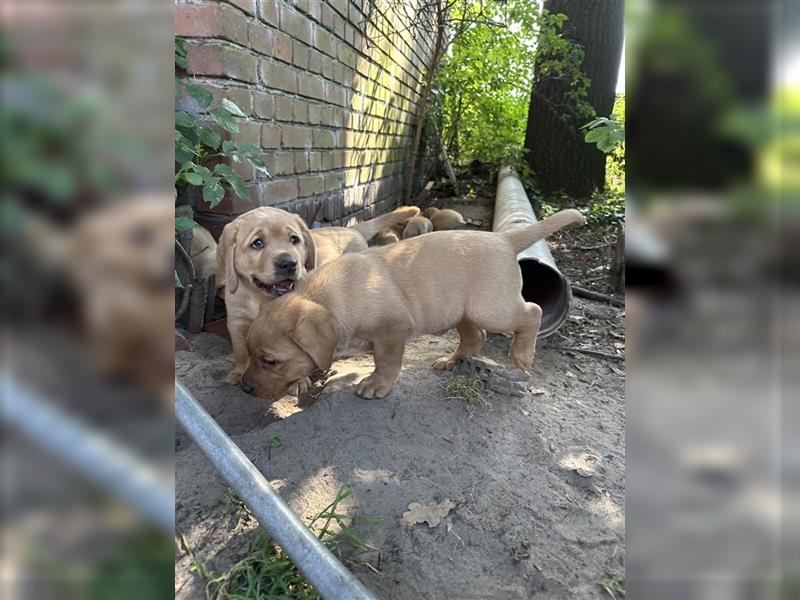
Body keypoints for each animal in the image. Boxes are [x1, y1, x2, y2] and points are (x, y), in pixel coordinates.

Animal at [219, 206, 418, 384]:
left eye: (294, 240)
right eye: (257, 243)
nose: (288, 263)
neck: (260, 296)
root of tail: (351, 228)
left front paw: (297, 382)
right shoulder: (237, 321)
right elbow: (240, 350)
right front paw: (238, 372)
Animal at [241, 209, 584, 400]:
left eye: (270, 361)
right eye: (250, 355)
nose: (244, 389)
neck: (332, 298)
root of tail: (504, 239)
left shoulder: (392, 330)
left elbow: (386, 361)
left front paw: (376, 385)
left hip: (492, 307)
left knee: (531, 313)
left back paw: (522, 355)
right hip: (462, 311)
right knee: (476, 337)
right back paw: (451, 361)